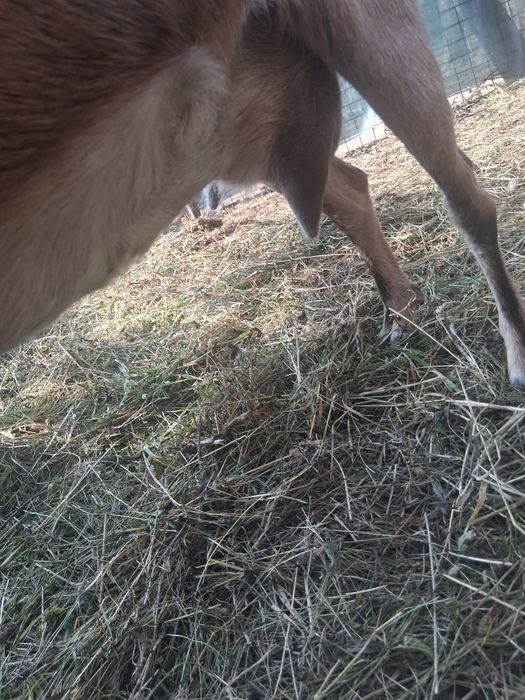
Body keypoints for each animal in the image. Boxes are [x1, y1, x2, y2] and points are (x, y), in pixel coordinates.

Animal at [0, 1, 524, 385]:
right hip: (246, 131)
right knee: (352, 187)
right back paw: (400, 310)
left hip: (366, 40)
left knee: (469, 201)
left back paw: (515, 351)